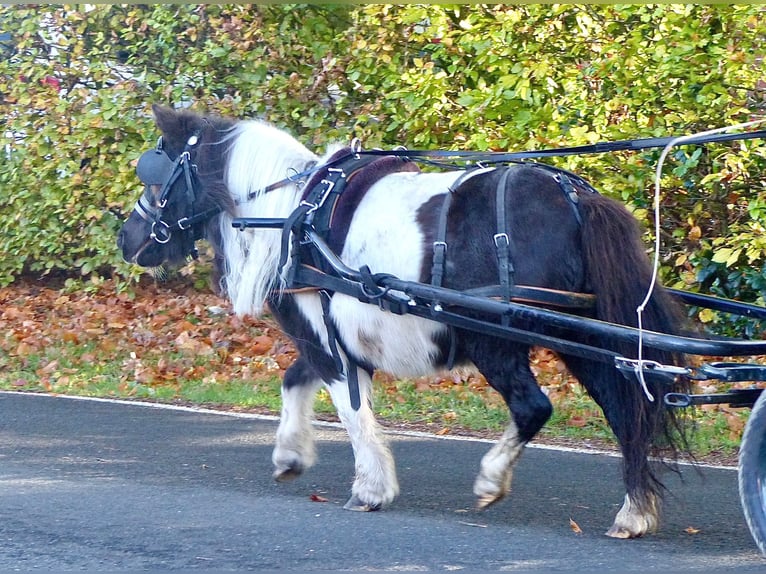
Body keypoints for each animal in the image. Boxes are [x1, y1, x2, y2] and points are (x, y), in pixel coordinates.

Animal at [118, 106, 688, 544]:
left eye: (155, 173)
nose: (127, 237)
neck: (287, 214)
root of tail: (575, 197)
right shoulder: (323, 333)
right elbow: (295, 380)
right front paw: (290, 453)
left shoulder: (325, 338)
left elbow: (351, 411)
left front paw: (370, 488)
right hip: (585, 334)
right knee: (625, 410)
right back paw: (634, 513)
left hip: (498, 337)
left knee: (536, 407)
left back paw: (493, 480)